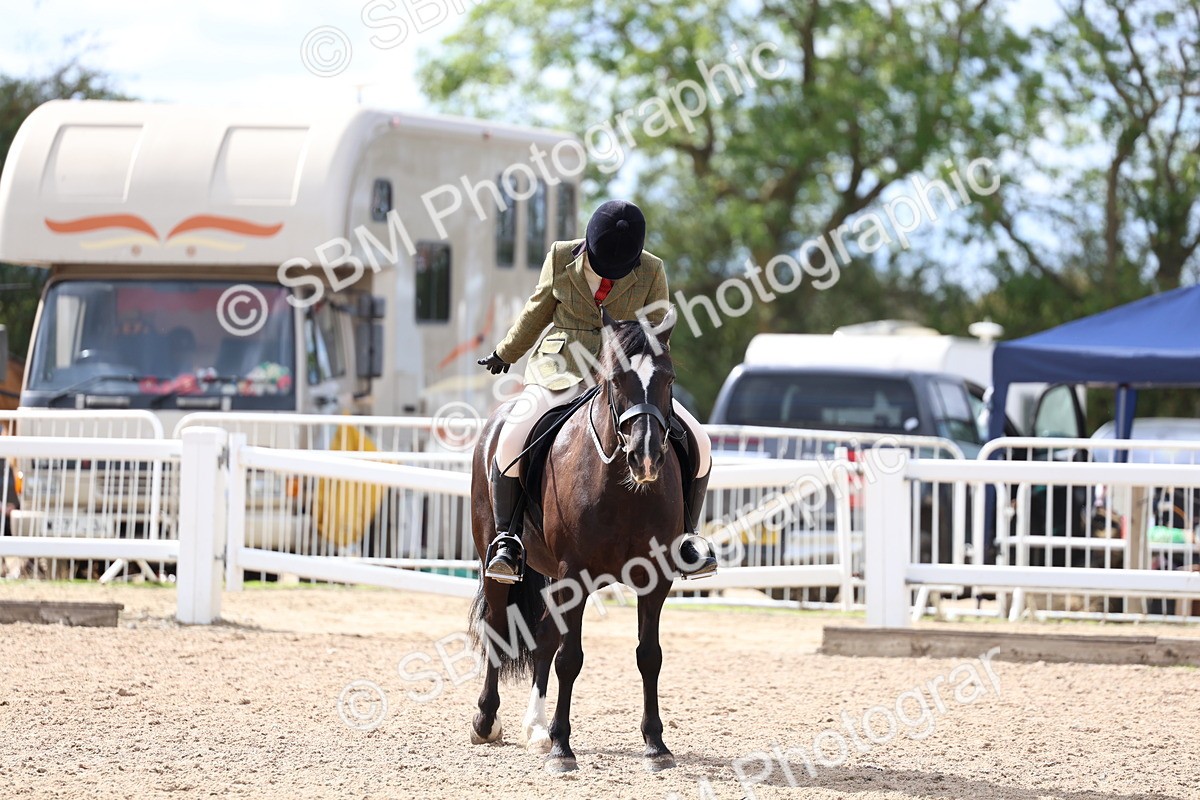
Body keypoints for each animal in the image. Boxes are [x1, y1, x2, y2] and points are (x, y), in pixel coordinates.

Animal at [468, 310, 685, 774]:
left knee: (544, 639)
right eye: (616, 380)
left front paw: (656, 745)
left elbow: (649, 655)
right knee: (498, 627)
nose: (646, 457)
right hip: (498, 561)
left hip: (552, 572)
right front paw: (563, 748)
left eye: (669, 377)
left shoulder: (655, 578)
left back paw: (535, 729)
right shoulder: (577, 575)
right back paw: (486, 721)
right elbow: (570, 659)